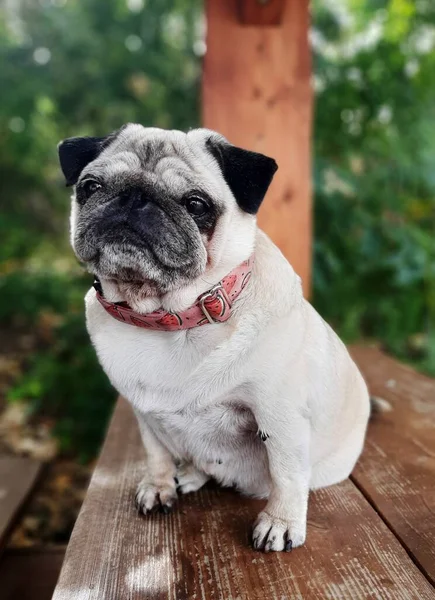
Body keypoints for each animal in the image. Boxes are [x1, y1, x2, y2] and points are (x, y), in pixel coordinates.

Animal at [58, 125, 372, 552]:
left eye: (196, 204)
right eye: (90, 186)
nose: (135, 198)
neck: (169, 320)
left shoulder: (280, 415)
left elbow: (287, 472)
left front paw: (280, 522)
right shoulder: (144, 413)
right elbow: (155, 453)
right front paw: (159, 486)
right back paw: (188, 475)